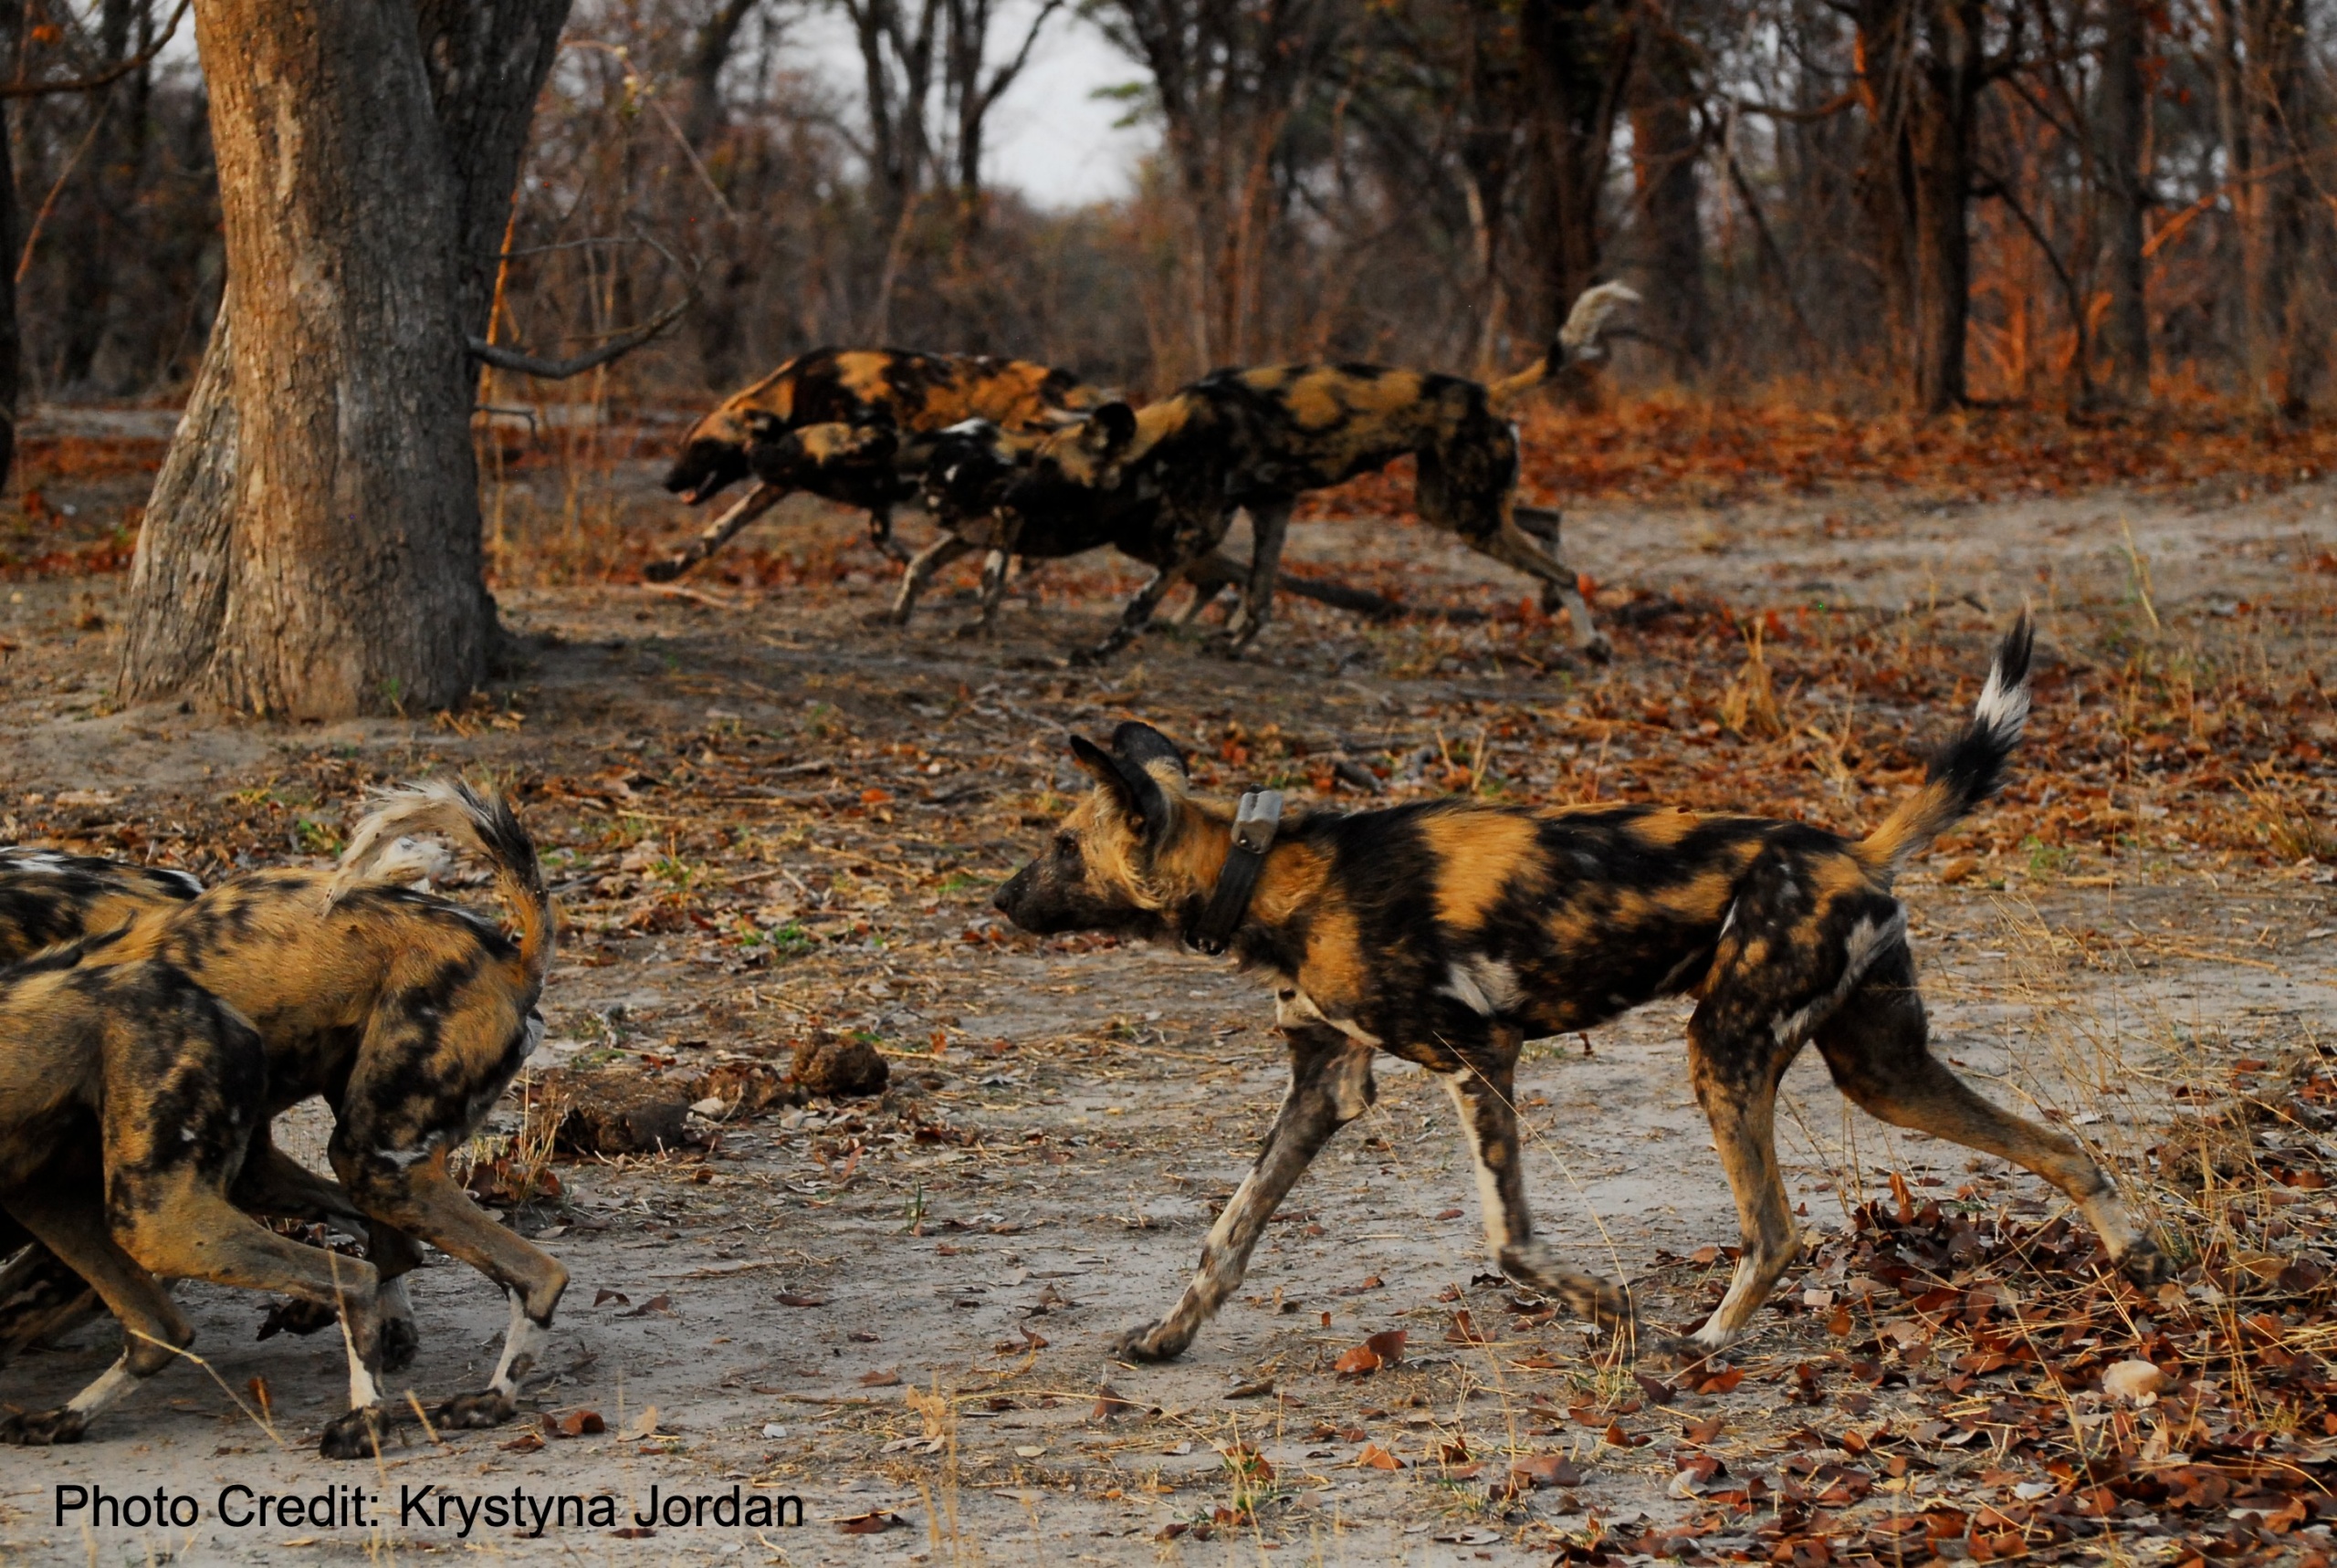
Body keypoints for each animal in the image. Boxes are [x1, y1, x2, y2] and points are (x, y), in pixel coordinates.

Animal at [0, 944, 393, 1448]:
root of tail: (219, 1008)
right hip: (56, 1201)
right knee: (158, 1330)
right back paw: (62, 1418)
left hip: (157, 1222)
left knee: (354, 1275)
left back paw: (365, 1419)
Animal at [902, 282, 1636, 664]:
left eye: (1048, 467)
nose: (1009, 492)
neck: (1164, 435)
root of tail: (1487, 391)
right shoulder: (1270, 508)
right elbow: (1258, 593)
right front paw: (1234, 640)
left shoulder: (1197, 532)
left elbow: (1142, 602)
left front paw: (1103, 650)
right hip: (1452, 505)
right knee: (1548, 520)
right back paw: (1558, 609)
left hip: (1468, 516)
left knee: (1563, 567)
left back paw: (1592, 641)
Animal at [990, 616, 2168, 1364]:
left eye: (1059, 845)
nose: (1000, 897)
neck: (1270, 874)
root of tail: (1848, 848)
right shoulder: (1322, 1085)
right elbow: (1227, 1232)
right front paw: (1168, 1334)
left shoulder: (1477, 1056)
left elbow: (1508, 1240)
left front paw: (1608, 1309)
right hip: (1881, 1071)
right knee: (2061, 1144)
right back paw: (2134, 1255)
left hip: (1724, 1051)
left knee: (1776, 1229)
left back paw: (1702, 1342)